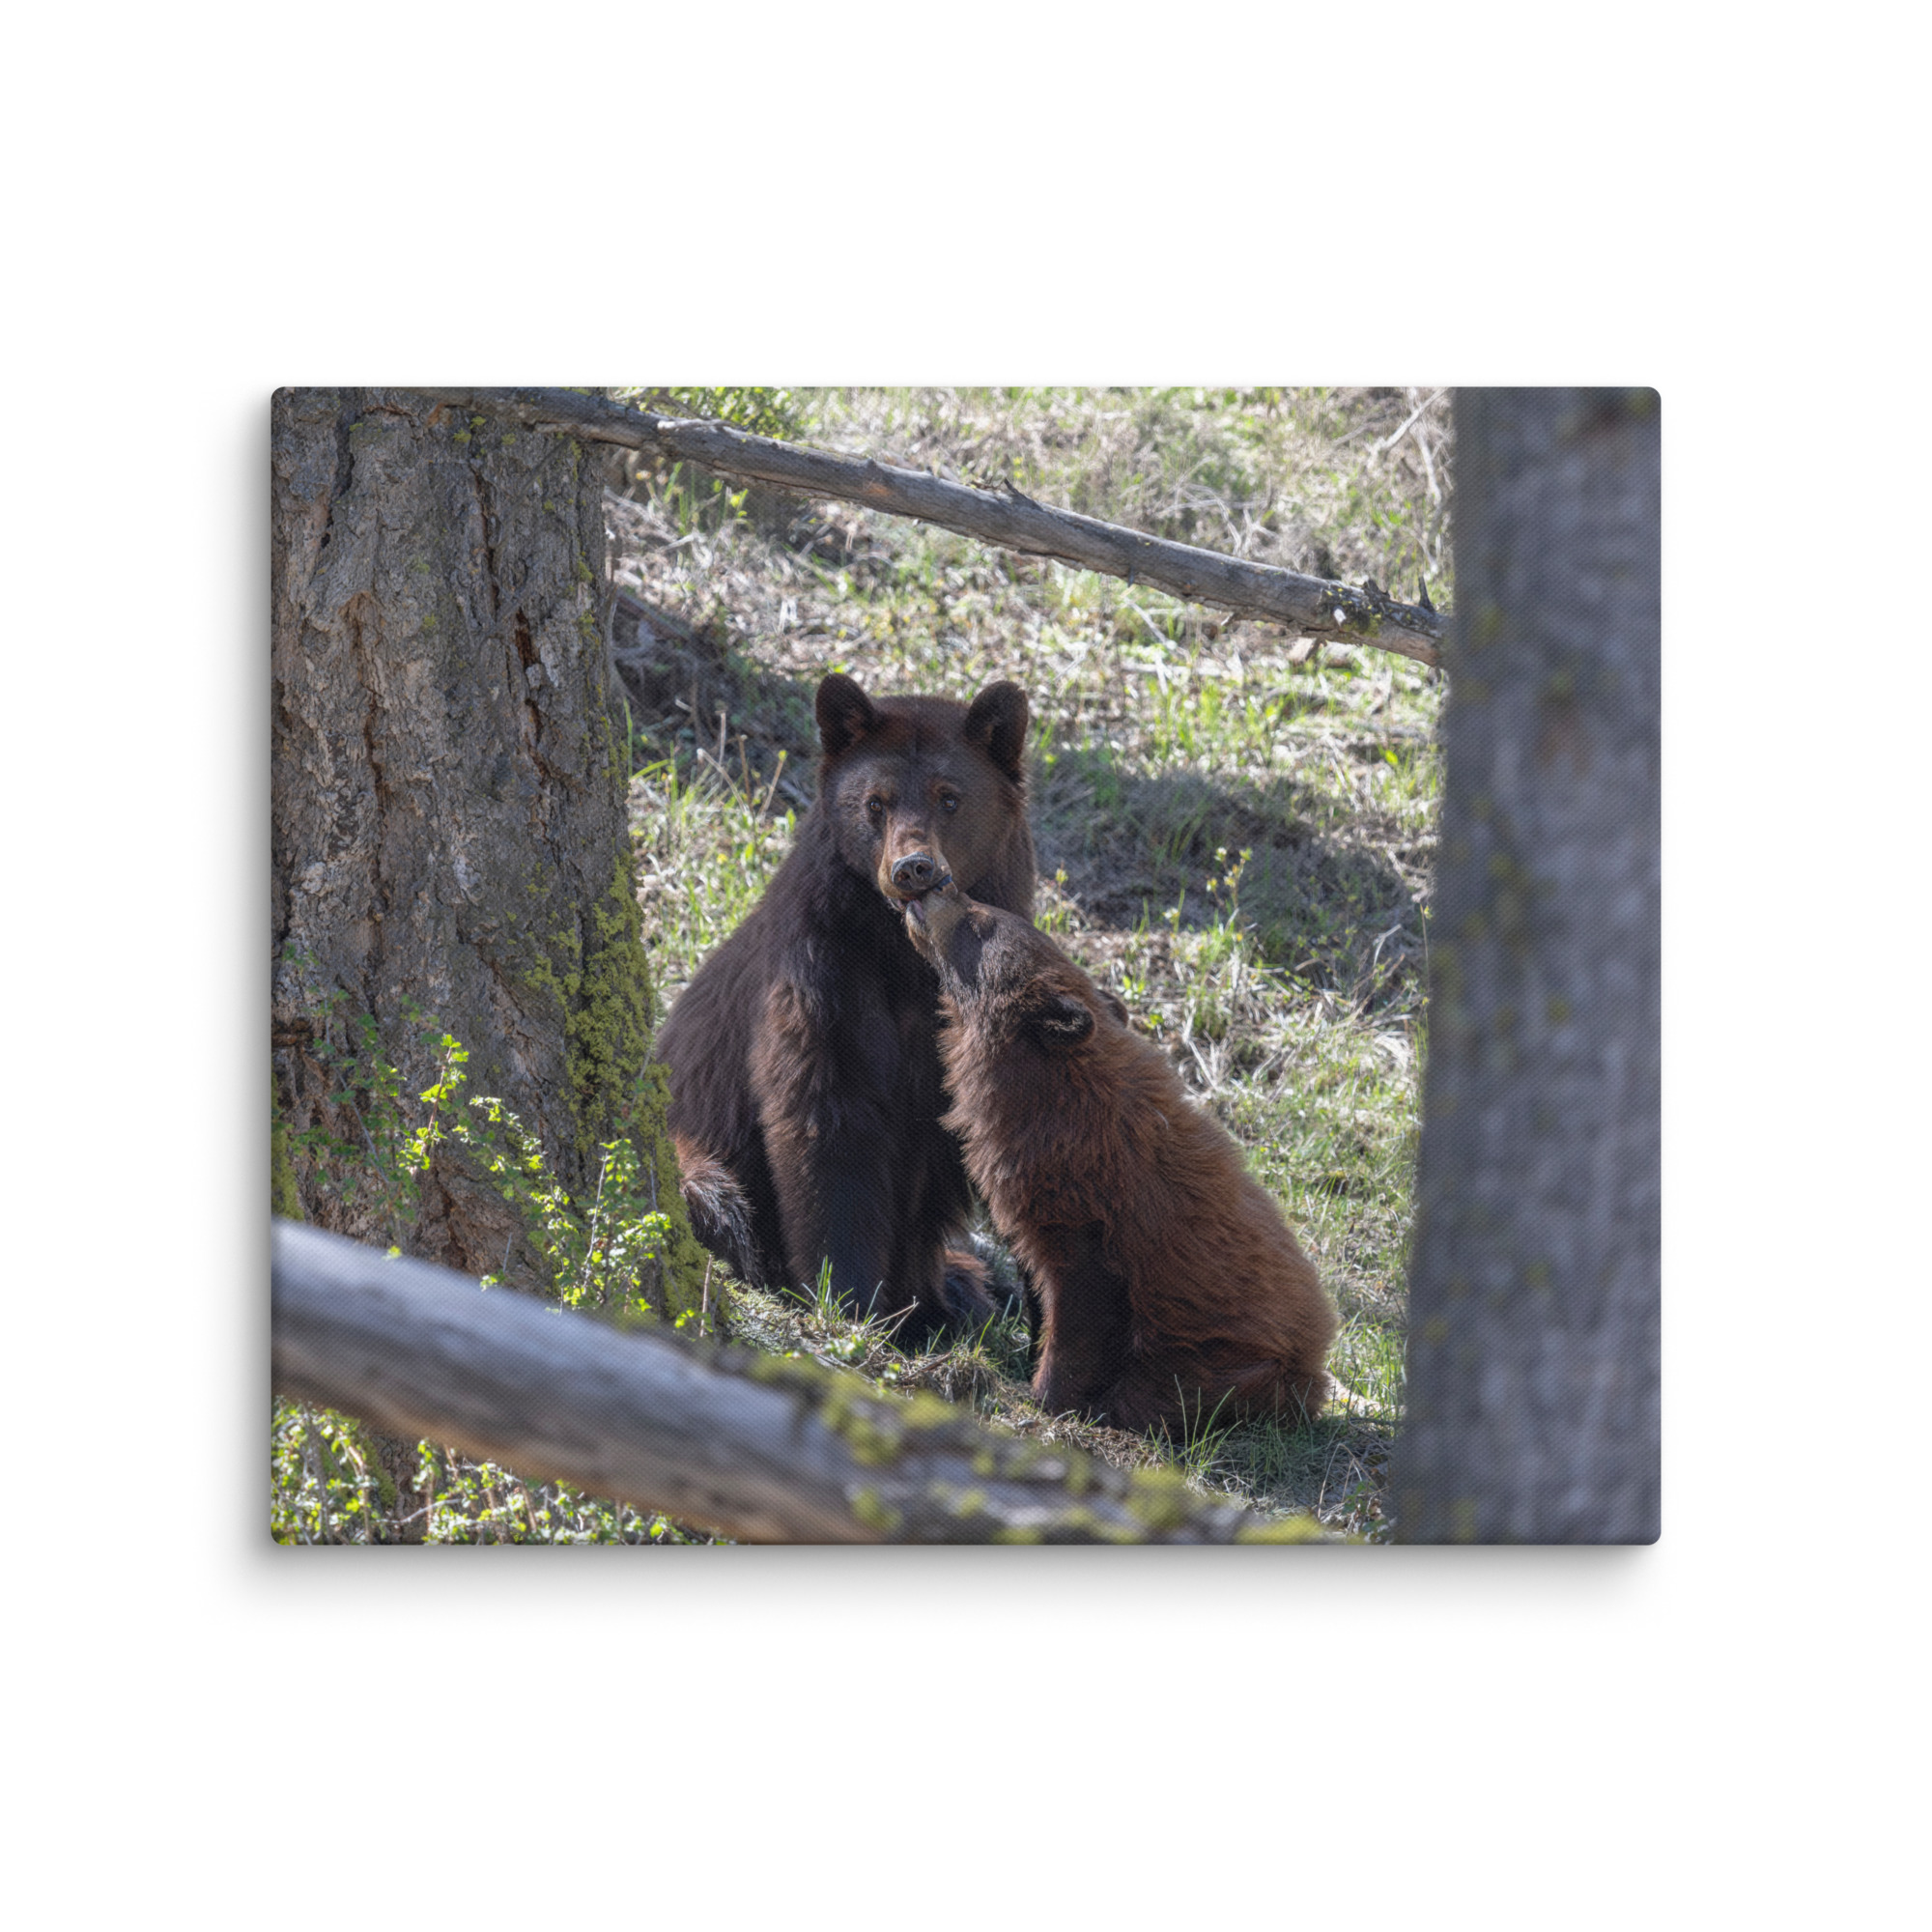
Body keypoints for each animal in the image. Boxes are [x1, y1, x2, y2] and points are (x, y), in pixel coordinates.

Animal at [655, 671, 1036, 1346]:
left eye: (950, 798)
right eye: (876, 803)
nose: (913, 868)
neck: (906, 957)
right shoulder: (821, 974)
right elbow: (827, 1122)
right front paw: (851, 1299)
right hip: (693, 1154)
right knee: (717, 1198)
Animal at [900, 877, 1337, 1435]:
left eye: (980, 921)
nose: (942, 884)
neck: (1050, 1095)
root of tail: (1316, 1364)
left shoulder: (1089, 1208)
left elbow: (1082, 1306)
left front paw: (1046, 1394)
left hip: (1229, 1364)